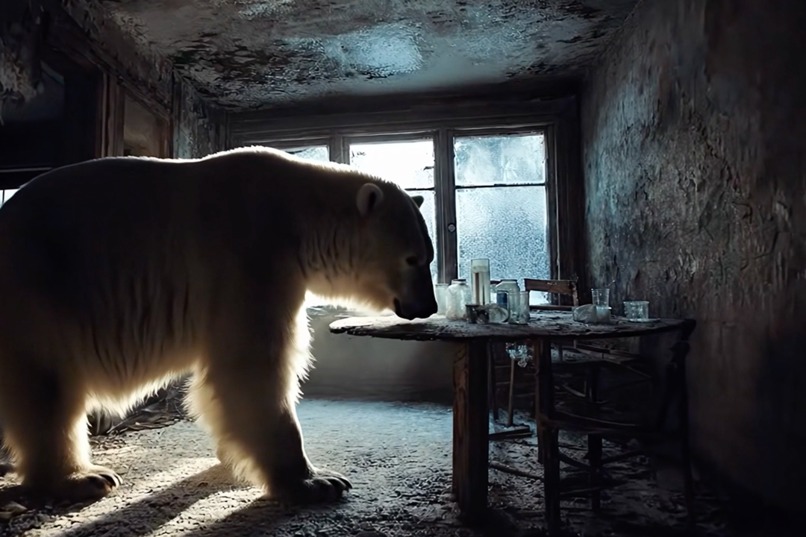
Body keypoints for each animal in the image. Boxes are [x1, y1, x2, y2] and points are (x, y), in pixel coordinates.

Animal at [0, 145, 437, 504]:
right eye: (413, 258)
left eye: (428, 256)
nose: (428, 305)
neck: (297, 214)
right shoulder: (248, 253)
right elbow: (253, 368)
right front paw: (317, 481)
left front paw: (232, 456)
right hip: (39, 291)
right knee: (48, 391)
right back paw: (84, 477)